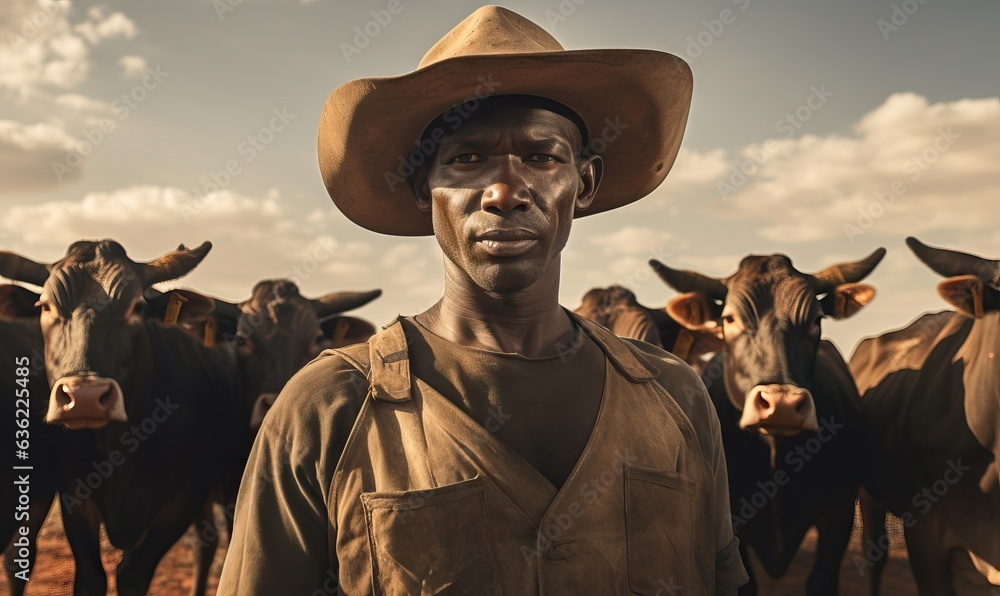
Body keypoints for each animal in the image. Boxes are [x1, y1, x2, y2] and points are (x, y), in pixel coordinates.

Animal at [0, 240, 241, 592]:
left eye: (137, 308)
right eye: (45, 306)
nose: (85, 397)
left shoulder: (183, 499)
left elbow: (133, 575)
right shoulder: (74, 496)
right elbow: (91, 577)